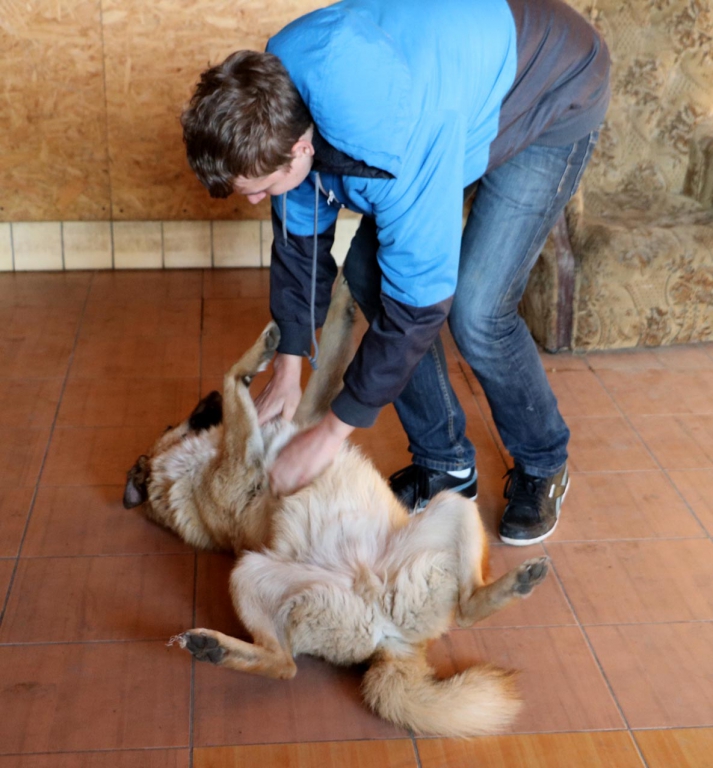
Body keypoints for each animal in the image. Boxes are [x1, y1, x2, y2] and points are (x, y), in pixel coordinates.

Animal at [123, 275, 549, 737]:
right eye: (174, 422)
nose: (210, 397)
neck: (188, 469)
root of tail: (395, 644)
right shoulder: (241, 460)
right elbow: (236, 377)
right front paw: (255, 360)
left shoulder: (307, 414)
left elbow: (325, 351)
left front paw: (343, 288)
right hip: (248, 574)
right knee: (285, 665)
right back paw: (215, 648)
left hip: (451, 506)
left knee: (467, 606)